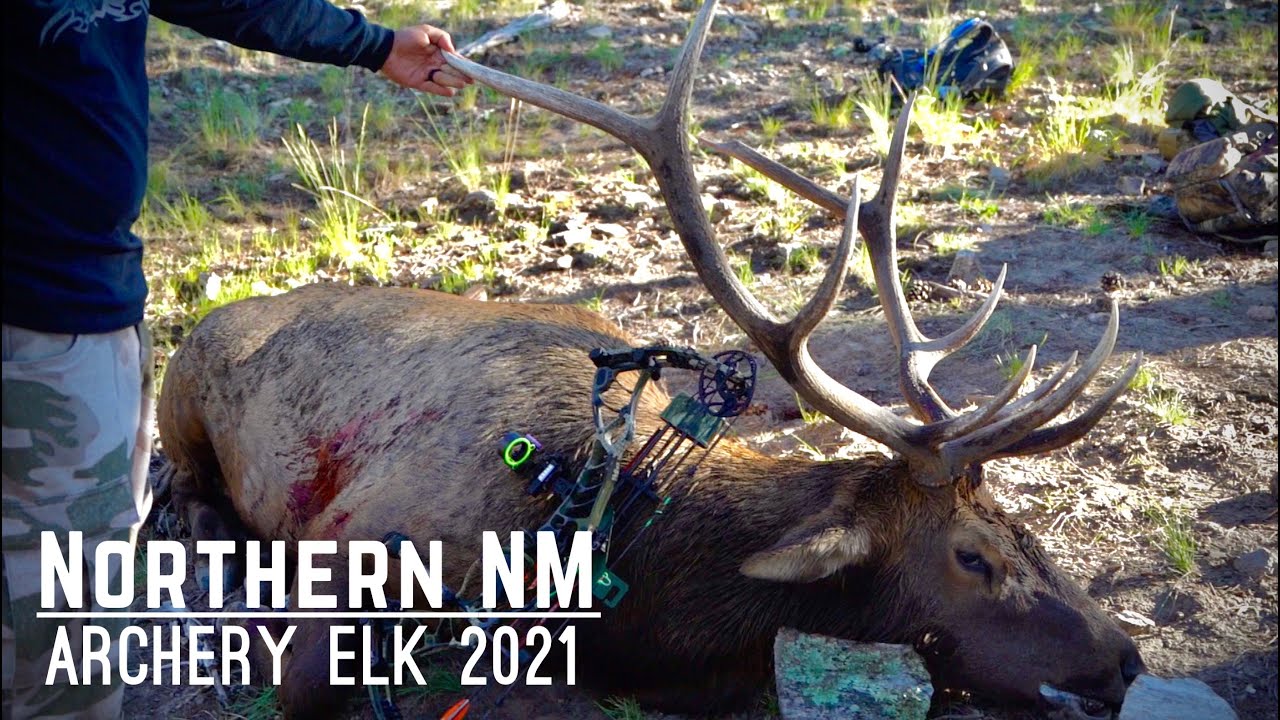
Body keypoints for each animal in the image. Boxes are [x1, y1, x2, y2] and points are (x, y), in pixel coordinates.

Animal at [156, 0, 1146, 717]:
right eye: (973, 557)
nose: (1127, 658)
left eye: (1026, 525)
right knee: (185, 488)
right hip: (179, 399)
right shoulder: (358, 546)